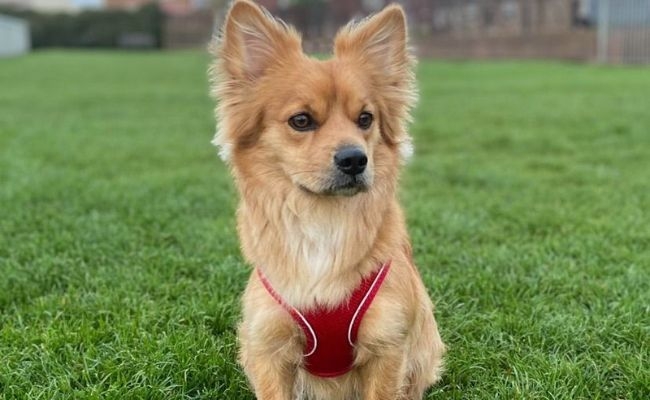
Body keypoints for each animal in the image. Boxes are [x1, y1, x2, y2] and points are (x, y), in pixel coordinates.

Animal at [210, 1, 442, 398]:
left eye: (365, 119)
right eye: (301, 120)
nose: (355, 159)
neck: (322, 220)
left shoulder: (388, 346)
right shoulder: (269, 347)